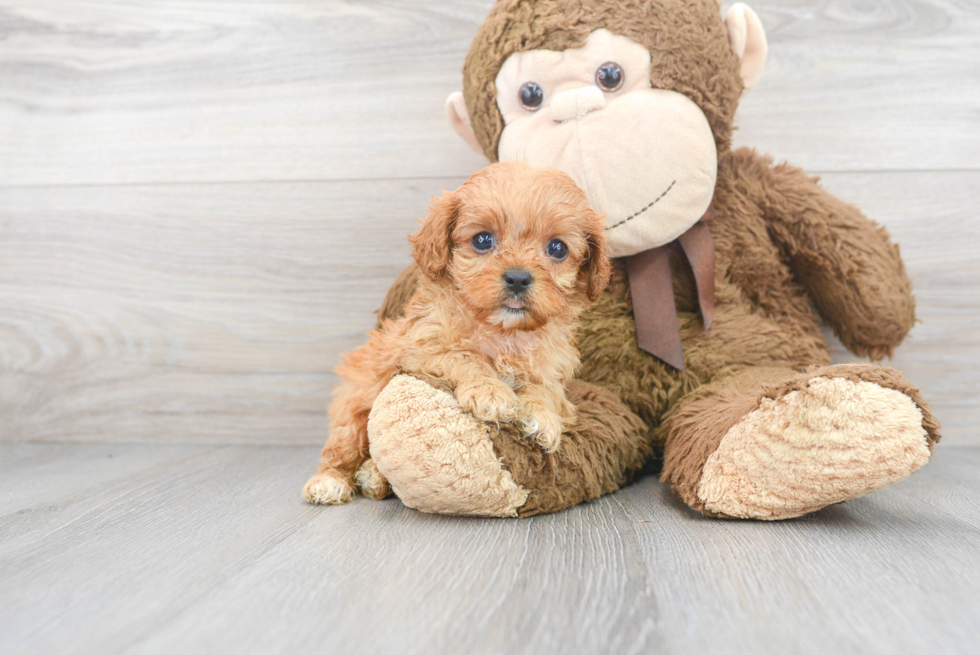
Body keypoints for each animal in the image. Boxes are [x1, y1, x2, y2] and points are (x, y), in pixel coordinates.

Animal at [306, 161, 608, 504]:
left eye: (557, 248)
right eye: (482, 240)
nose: (518, 278)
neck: (503, 332)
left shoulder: (550, 371)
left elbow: (546, 390)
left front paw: (541, 415)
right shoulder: (421, 350)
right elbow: (464, 357)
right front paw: (491, 393)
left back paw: (374, 476)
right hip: (355, 401)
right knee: (342, 448)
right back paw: (330, 482)